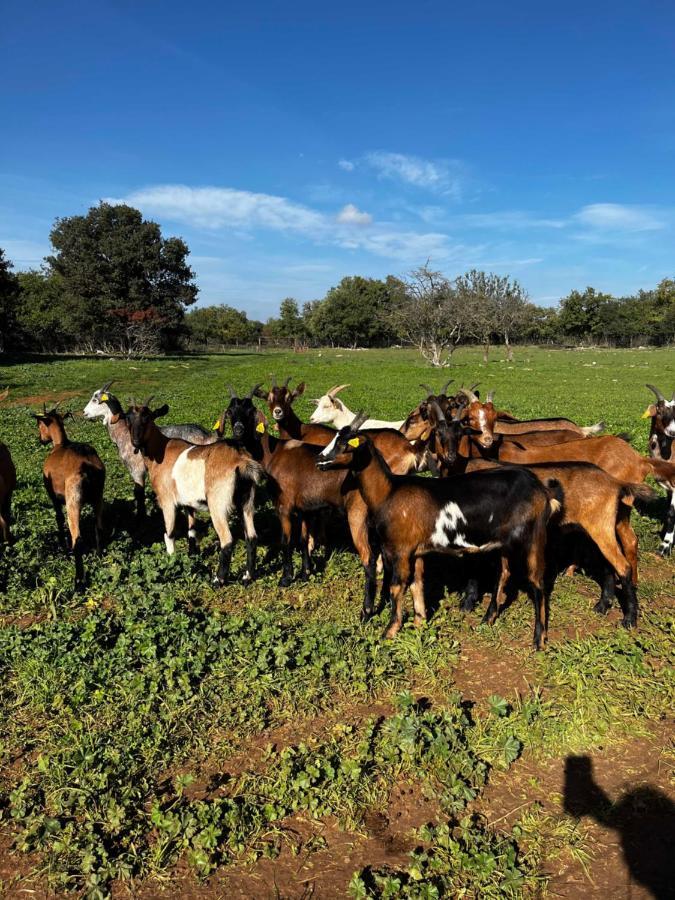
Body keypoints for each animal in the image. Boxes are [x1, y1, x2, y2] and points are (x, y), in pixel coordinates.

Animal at [35, 408, 105, 592]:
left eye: (39, 424)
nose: (41, 439)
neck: (61, 444)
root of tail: (88, 466)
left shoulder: (52, 495)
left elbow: (58, 518)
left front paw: (62, 544)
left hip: (73, 500)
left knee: (77, 539)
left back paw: (78, 581)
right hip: (98, 496)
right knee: (99, 526)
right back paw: (99, 555)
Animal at [83, 380, 218, 520]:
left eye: (95, 399)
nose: (84, 412)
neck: (124, 434)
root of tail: (208, 436)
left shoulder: (137, 470)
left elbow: (138, 493)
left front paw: (141, 516)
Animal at [107, 400, 262, 584]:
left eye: (148, 417)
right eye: (128, 418)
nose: (135, 442)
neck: (161, 450)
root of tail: (241, 460)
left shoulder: (166, 500)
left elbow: (169, 533)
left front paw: (171, 561)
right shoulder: (189, 502)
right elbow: (192, 530)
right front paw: (192, 555)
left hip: (218, 504)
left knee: (227, 540)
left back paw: (218, 580)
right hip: (247, 502)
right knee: (252, 537)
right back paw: (247, 577)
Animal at [316, 412, 560, 652]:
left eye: (345, 444)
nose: (319, 460)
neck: (388, 492)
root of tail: (542, 490)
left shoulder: (400, 551)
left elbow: (396, 587)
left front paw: (389, 632)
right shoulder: (415, 551)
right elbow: (416, 585)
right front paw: (419, 623)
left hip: (533, 537)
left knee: (537, 583)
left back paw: (539, 639)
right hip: (505, 542)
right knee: (504, 574)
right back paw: (488, 619)